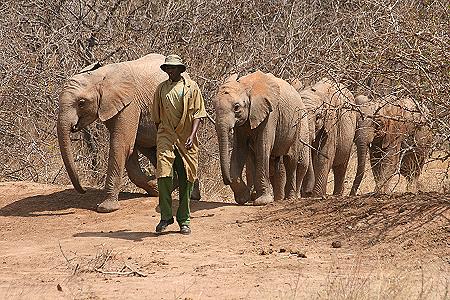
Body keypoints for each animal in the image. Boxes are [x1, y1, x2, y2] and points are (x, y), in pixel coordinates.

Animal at [57, 54, 200, 213]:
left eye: (81, 103)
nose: (84, 190)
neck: (99, 76)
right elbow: (128, 150)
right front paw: (154, 189)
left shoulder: (129, 105)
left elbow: (121, 146)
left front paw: (105, 208)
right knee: (152, 149)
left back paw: (193, 196)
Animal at [214, 71, 310, 205]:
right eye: (214, 106)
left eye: (236, 107)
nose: (226, 181)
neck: (245, 86)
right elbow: (239, 149)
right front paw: (243, 199)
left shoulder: (270, 114)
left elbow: (263, 147)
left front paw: (262, 201)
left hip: (298, 122)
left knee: (291, 159)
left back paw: (289, 198)